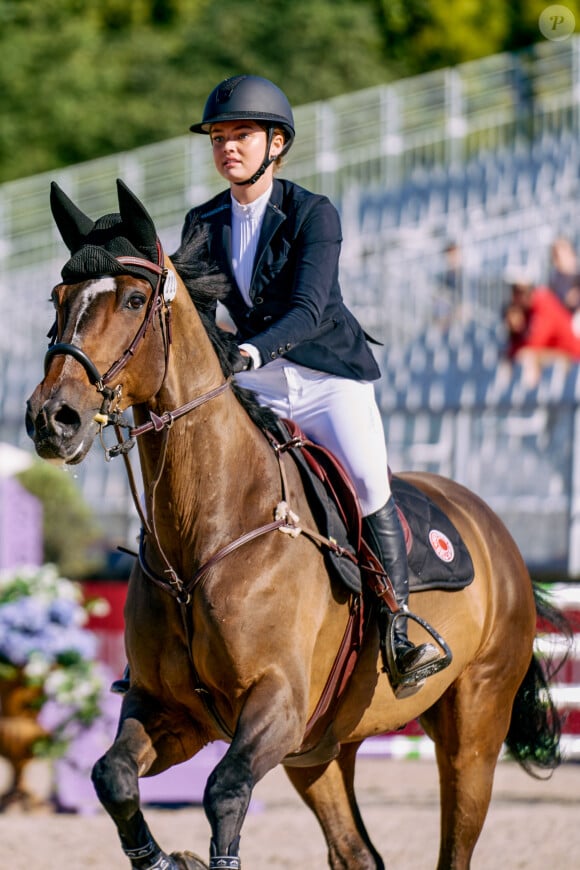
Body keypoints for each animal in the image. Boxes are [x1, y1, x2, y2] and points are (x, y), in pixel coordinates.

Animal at [27, 182, 568, 870]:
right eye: (57, 298)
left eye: (133, 299)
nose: (52, 419)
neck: (205, 531)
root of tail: (495, 528)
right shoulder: (168, 711)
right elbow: (112, 777)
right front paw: (166, 859)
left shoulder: (277, 705)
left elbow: (224, 791)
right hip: (323, 748)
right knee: (357, 852)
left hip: (472, 726)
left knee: (455, 838)